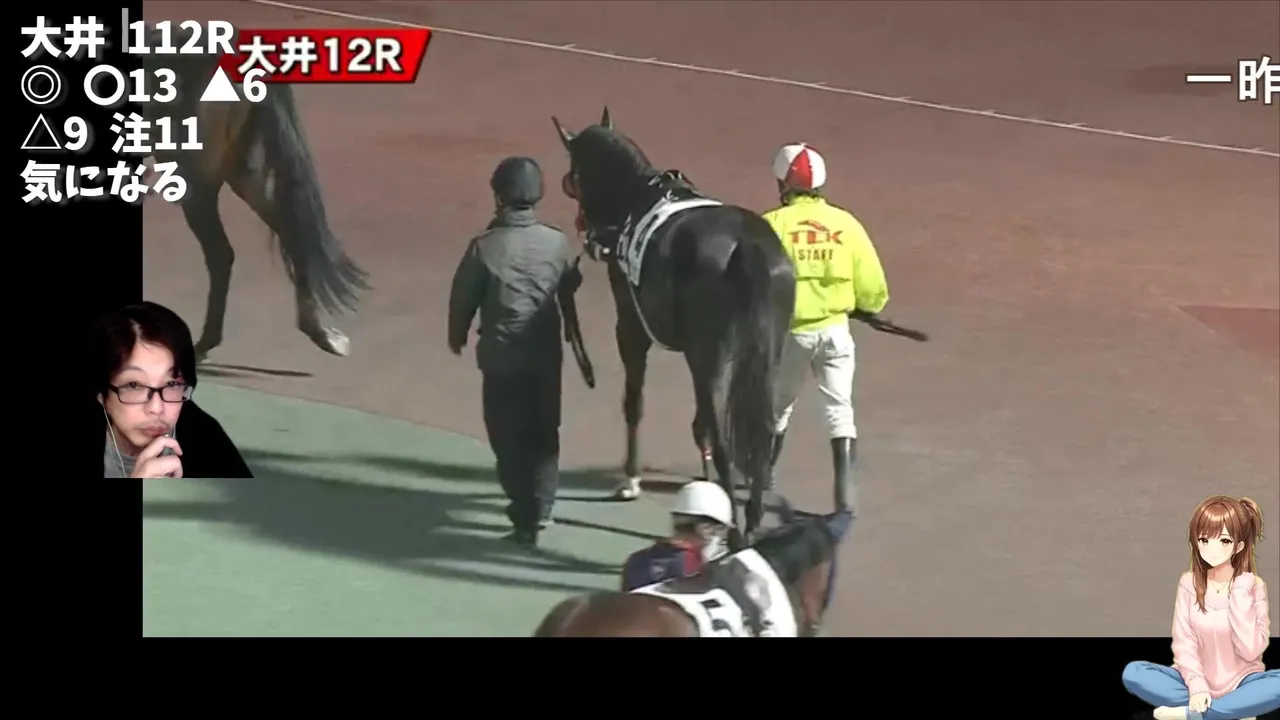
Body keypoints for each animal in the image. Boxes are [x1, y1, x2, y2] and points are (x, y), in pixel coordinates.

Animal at [141, 23, 367, 361]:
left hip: (195, 176)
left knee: (221, 254)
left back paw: (204, 344)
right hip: (241, 171)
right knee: (293, 231)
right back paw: (318, 332)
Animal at [551, 108, 797, 541]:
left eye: (572, 177)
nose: (590, 234)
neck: (640, 196)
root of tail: (746, 246)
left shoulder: (631, 327)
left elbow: (634, 401)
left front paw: (630, 480)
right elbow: (699, 427)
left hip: (708, 355)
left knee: (722, 434)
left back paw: (736, 530)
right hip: (764, 353)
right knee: (759, 431)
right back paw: (749, 520)